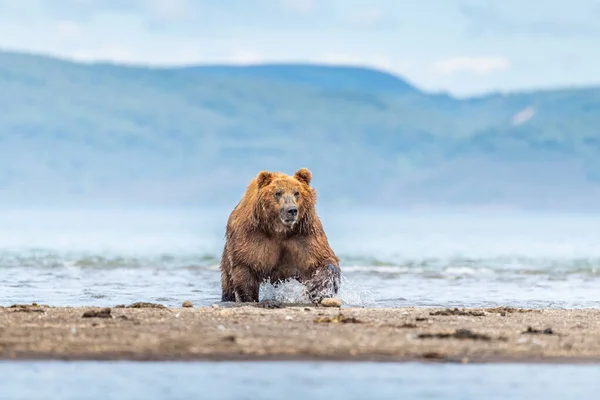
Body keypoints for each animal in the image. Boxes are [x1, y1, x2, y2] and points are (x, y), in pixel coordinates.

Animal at [219, 168, 342, 304]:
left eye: (296, 192)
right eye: (278, 193)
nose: (292, 210)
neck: (279, 230)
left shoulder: (304, 234)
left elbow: (321, 258)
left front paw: (318, 286)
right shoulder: (252, 236)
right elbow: (246, 268)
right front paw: (248, 298)